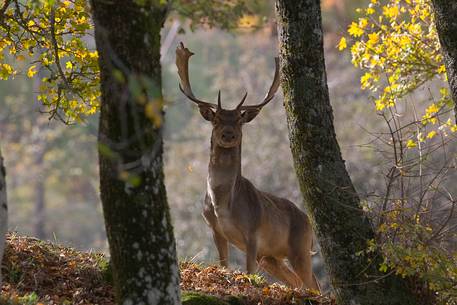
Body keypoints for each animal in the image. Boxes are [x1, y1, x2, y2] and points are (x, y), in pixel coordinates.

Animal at [176, 42, 318, 290]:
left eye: (239, 120)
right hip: (271, 257)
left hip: (300, 247)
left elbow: (249, 271)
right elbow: (224, 265)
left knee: (312, 283)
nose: (228, 134)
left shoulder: (253, 233)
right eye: (216, 119)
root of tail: (308, 221)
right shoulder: (215, 230)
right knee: (297, 281)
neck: (222, 204)